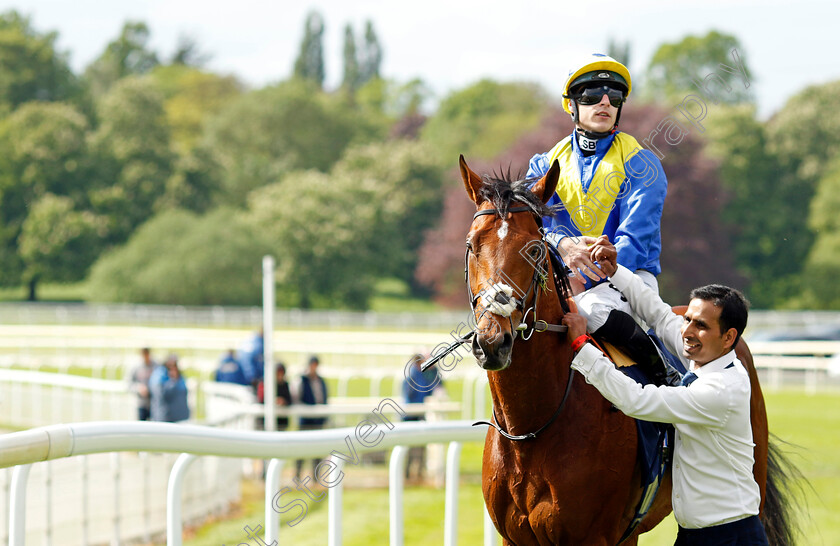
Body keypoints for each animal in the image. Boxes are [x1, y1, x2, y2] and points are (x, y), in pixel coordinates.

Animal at [460, 155, 800, 540]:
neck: (530, 429)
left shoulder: (597, 535)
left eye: (533, 249)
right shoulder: (514, 537)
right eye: (471, 245)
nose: (492, 341)